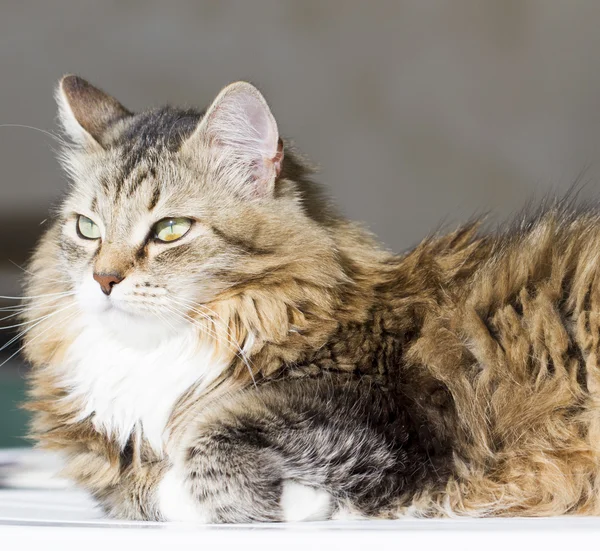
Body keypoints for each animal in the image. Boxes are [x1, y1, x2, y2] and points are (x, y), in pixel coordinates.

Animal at [12, 74, 600, 520]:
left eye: (170, 230)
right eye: (88, 228)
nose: (103, 279)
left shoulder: (378, 418)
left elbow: (208, 447)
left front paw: (294, 503)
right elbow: (140, 492)